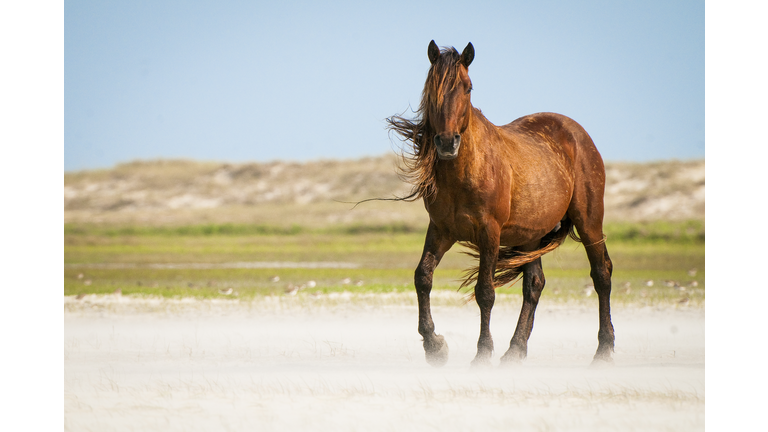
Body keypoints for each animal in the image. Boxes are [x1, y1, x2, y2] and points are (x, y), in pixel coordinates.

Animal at [388, 41, 616, 368]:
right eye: (432, 89)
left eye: (468, 87)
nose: (447, 143)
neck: (466, 169)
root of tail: (577, 132)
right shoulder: (441, 230)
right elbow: (423, 278)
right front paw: (434, 346)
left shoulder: (489, 232)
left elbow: (485, 291)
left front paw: (482, 352)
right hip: (531, 235)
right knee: (534, 285)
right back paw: (515, 350)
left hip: (589, 221)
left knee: (602, 274)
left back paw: (604, 349)